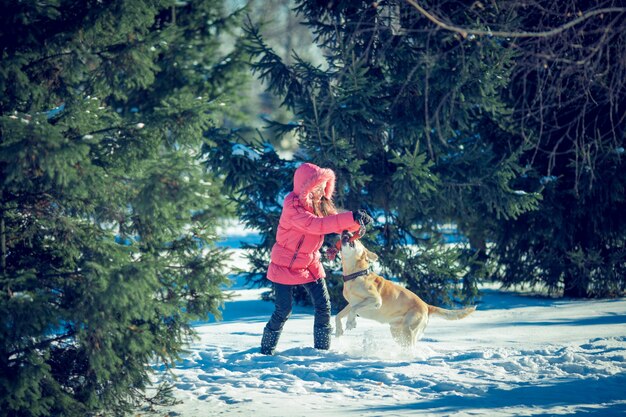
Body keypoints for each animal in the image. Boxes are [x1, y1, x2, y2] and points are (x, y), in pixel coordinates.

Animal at [336, 231, 472, 348]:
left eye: (358, 239)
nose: (345, 231)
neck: (356, 275)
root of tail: (426, 306)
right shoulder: (350, 303)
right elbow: (339, 315)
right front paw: (338, 331)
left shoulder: (375, 300)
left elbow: (354, 309)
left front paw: (350, 323)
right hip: (396, 331)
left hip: (408, 329)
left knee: (410, 347)